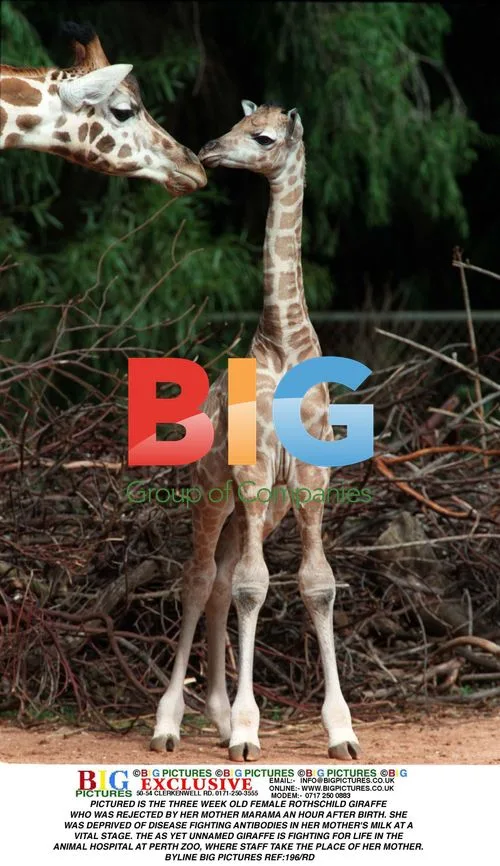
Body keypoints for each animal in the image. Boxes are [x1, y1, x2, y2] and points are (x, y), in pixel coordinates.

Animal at [150, 101, 360, 762]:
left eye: (262, 137)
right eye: (236, 126)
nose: (209, 150)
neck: (285, 345)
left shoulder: (310, 477)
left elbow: (315, 584)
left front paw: (342, 731)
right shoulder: (252, 470)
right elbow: (253, 586)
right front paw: (248, 730)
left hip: (263, 510)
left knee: (221, 581)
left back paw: (216, 717)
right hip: (212, 488)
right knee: (199, 580)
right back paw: (170, 724)